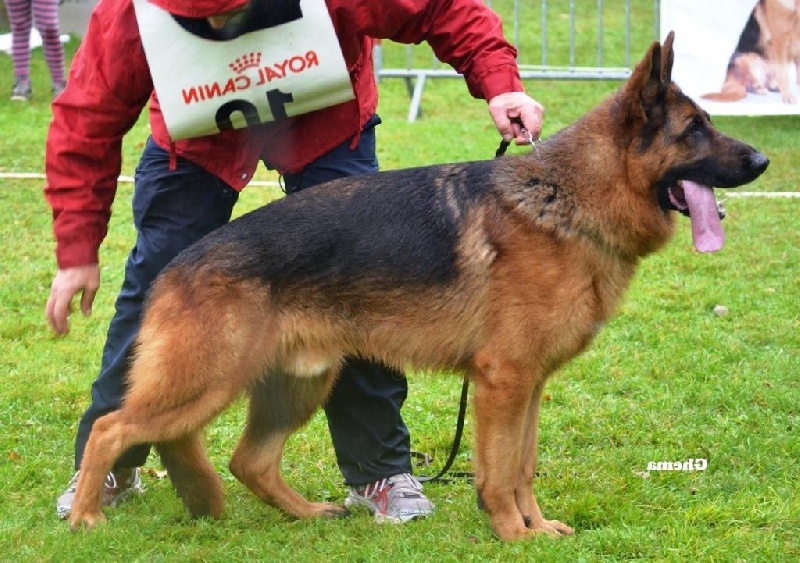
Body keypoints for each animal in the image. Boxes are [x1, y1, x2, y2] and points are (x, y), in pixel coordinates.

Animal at [69, 32, 768, 540]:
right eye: (695, 130)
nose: (762, 160)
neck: (569, 198)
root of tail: (178, 265)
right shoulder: (503, 383)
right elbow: (499, 471)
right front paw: (514, 535)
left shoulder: (530, 384)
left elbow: (524, 466)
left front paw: (536, 527)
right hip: (206, 382)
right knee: (110, 428)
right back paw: (85, 515)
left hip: (299, 383)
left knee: (248, 461)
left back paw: (309, 515)